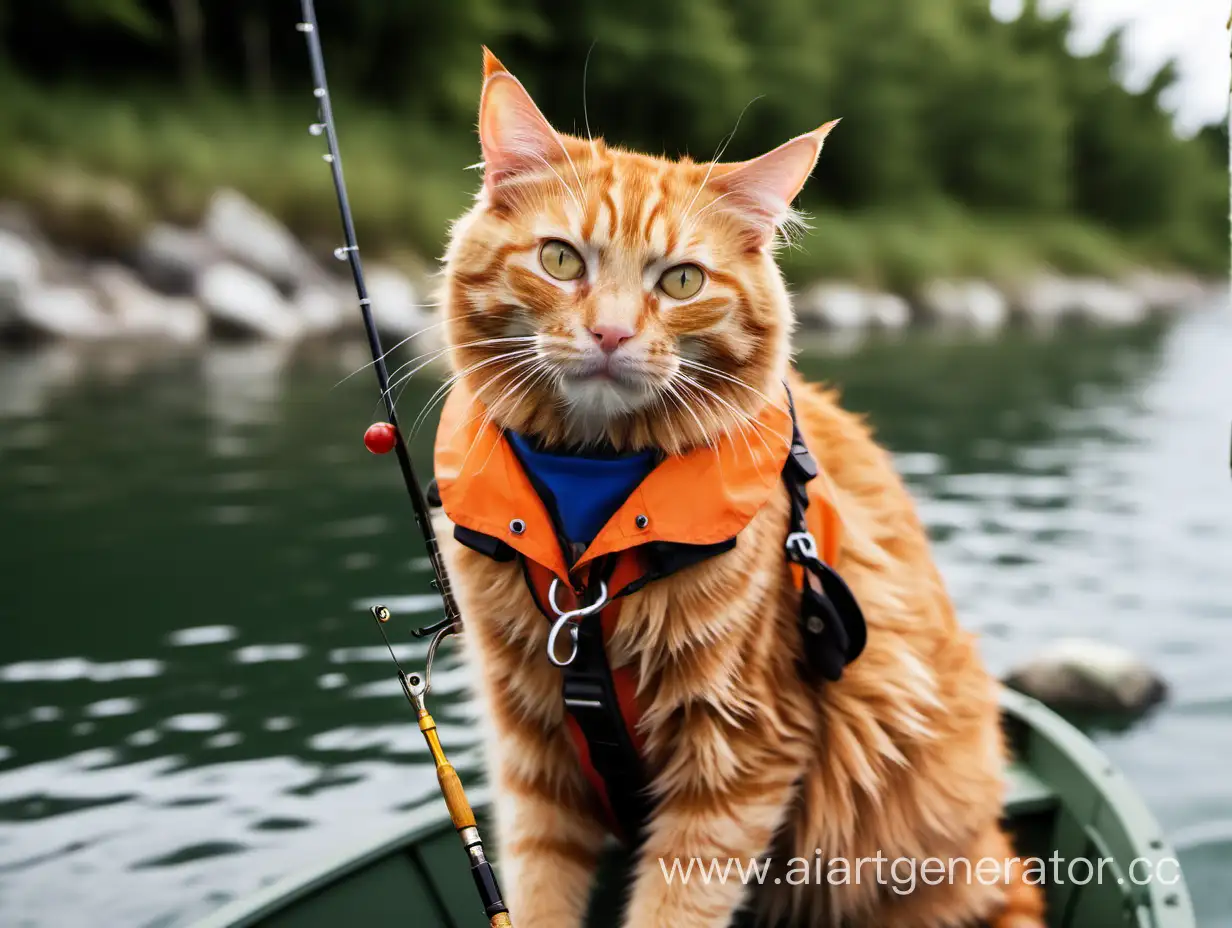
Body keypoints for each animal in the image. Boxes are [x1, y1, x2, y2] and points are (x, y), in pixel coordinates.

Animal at [428, 50, 1044, 926]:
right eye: (561, 260)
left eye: (682, 281)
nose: (611, 331)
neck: (590, 495)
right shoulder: (534, 756)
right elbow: (537, 889)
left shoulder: (742, 752)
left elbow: (673, 906)